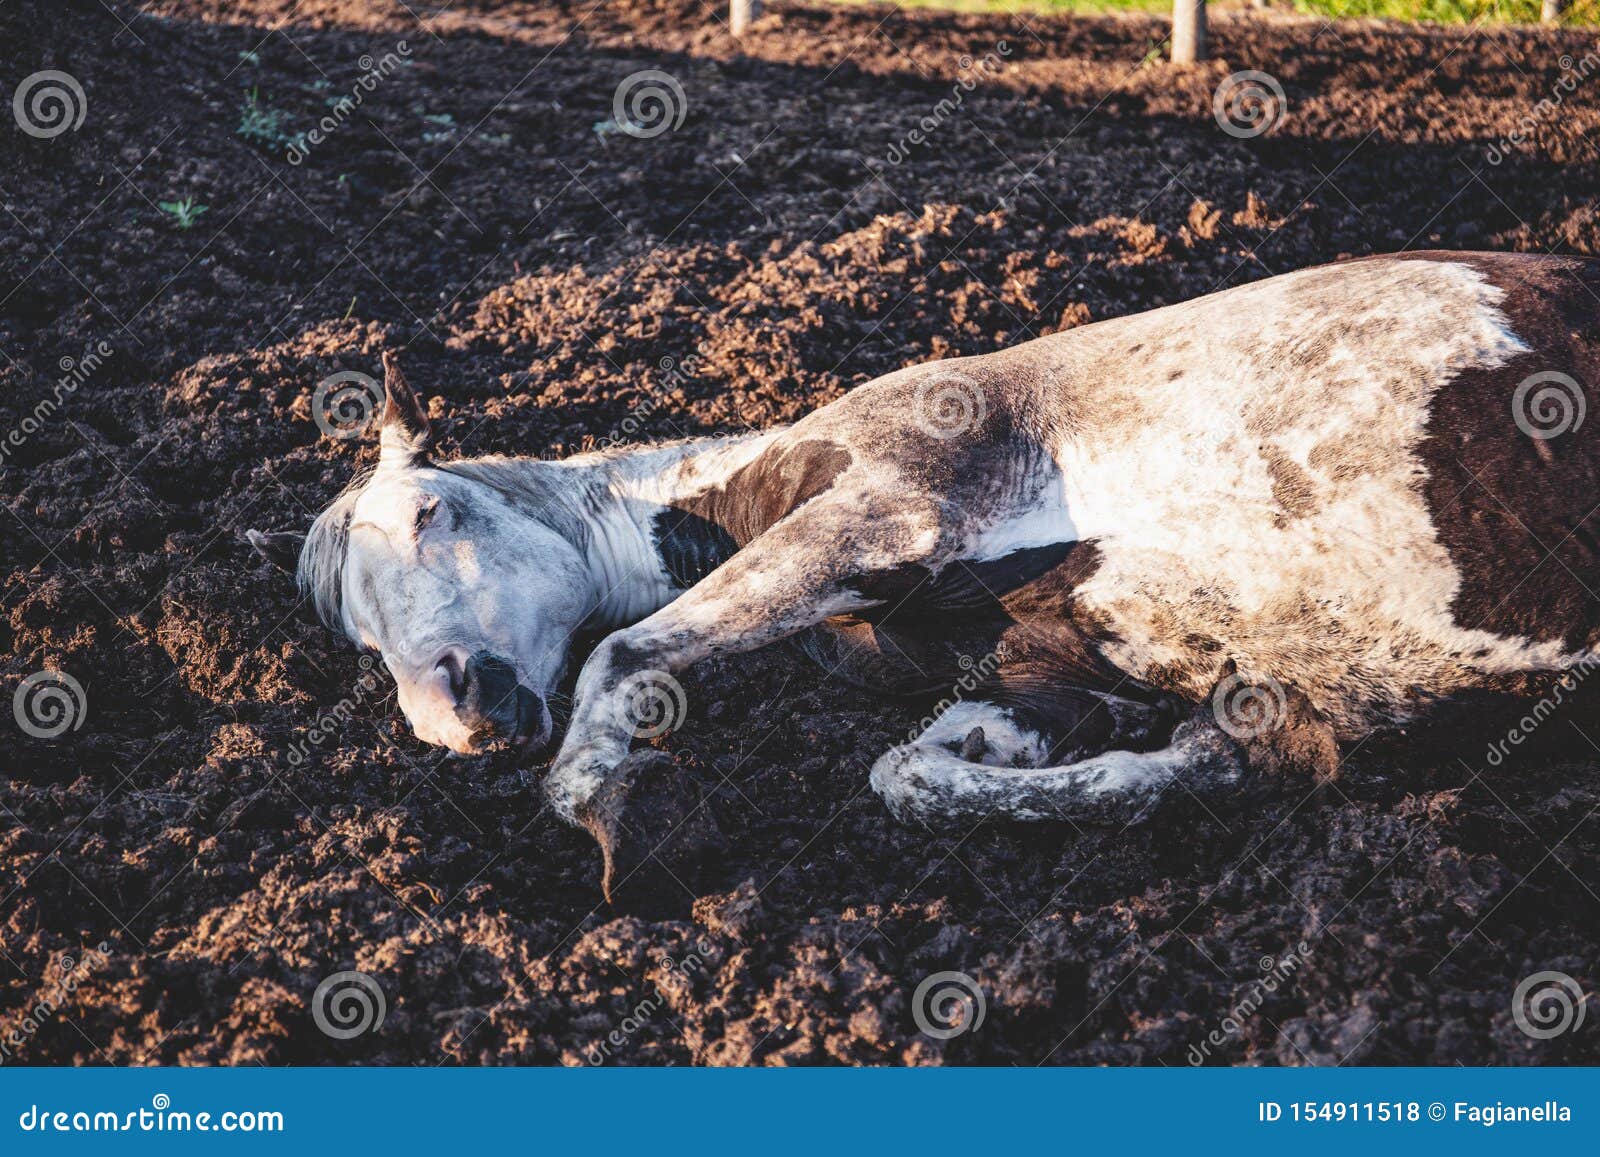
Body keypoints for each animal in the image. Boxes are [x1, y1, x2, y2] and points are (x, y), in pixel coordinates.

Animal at [249, 251, 1600, 899]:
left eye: (430, 511)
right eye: (359, 642)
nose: (458, 710)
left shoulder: (892, 506)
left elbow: (625, 652)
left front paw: (615, 814)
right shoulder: (1056, 673)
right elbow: (918, 773)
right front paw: (1230, 755)